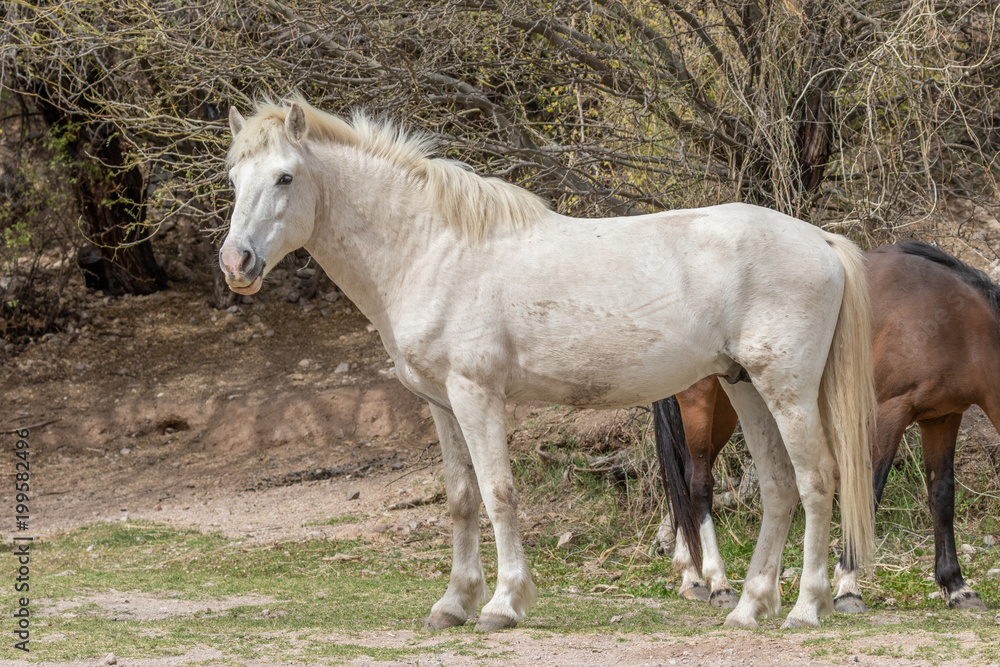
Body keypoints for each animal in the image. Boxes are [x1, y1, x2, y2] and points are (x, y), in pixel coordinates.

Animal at [221, 98, 876, 632]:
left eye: (285, 176)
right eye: (234, 178)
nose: (236, 263)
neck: (432, 248)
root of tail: (820, 241)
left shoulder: (476, 393)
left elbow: (499, 493)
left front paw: (502, 604)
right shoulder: (441, 403)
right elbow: (461, 497)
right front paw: (452, 604)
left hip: (786, 390)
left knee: (818, 482)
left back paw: (805, 607)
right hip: (744, 388)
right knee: (779, 486)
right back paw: (748, 607)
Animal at [652, 243, 996, 612]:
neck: (954, 319)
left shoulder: (942, 418)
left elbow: (942, 496)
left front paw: (957, 586)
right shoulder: (889, 413)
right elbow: (870, 491)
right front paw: (848, 586)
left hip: (726, 406)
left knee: (685, 478)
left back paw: (691, 576)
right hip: (698, 397)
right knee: (699, 483)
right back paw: (718, 583)